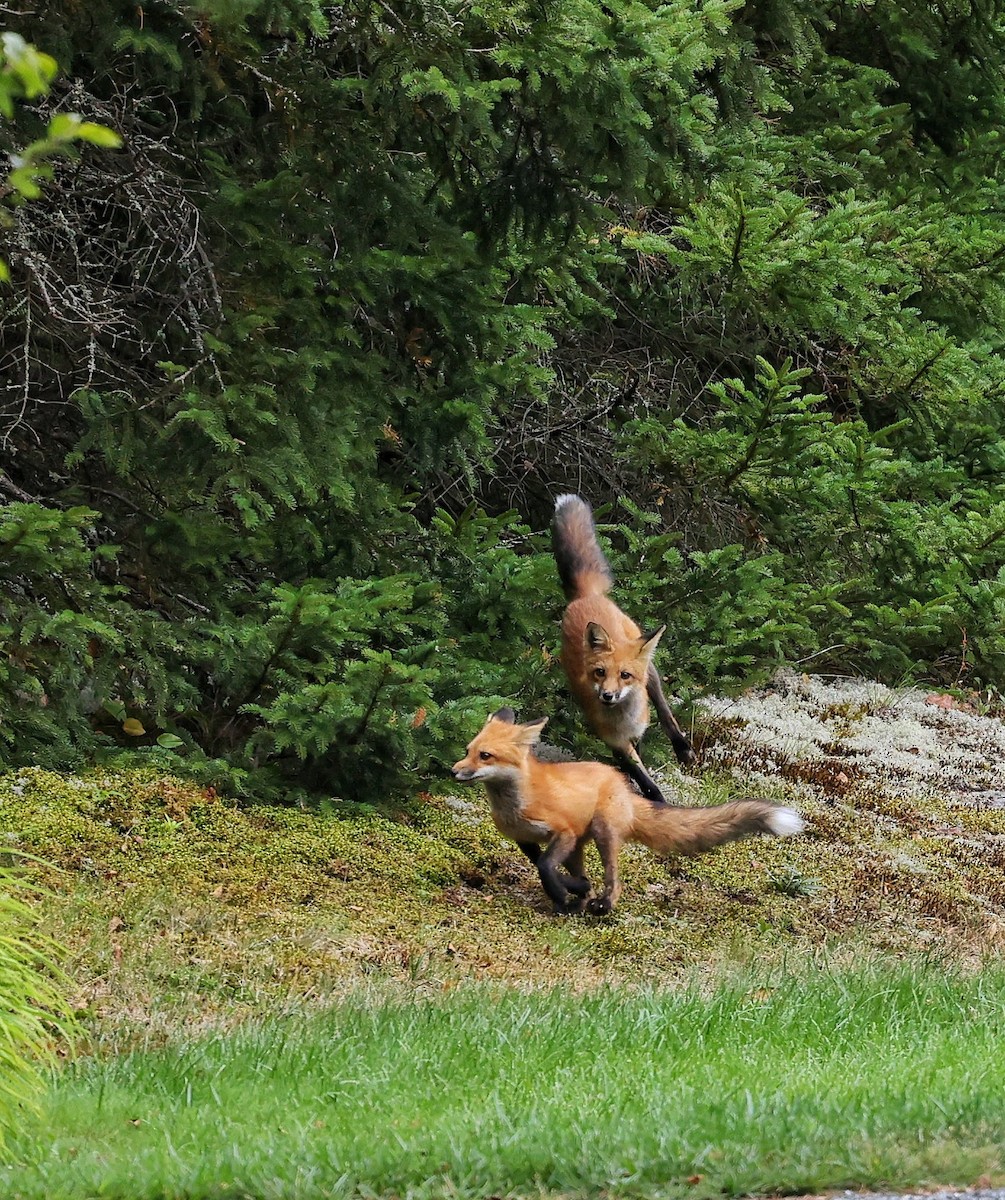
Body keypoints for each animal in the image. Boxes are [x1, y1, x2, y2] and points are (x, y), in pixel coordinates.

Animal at [452, 708, 803, 915]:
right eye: (468, 751)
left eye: (485, 756)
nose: (454, 771)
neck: (516, 805)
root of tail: (621, 782)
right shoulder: (525, 839)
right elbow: (545, 866)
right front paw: (569, 892)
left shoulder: (562, 831)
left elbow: (545, 867)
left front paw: (561, 893)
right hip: (579, 845)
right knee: (584, 874)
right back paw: (579, 900)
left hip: (601, 832)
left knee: (614, 879)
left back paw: (602, 905)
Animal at [552, 492, 695, 803]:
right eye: (599, 672)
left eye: (625, 676)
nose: (607, 695)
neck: (622, 718)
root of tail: (585, 597)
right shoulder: (614, 741)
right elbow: (641, 774)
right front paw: (646, 793)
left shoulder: (635, 726)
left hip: (651, 672)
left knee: (666, 713)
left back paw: (682, 747)